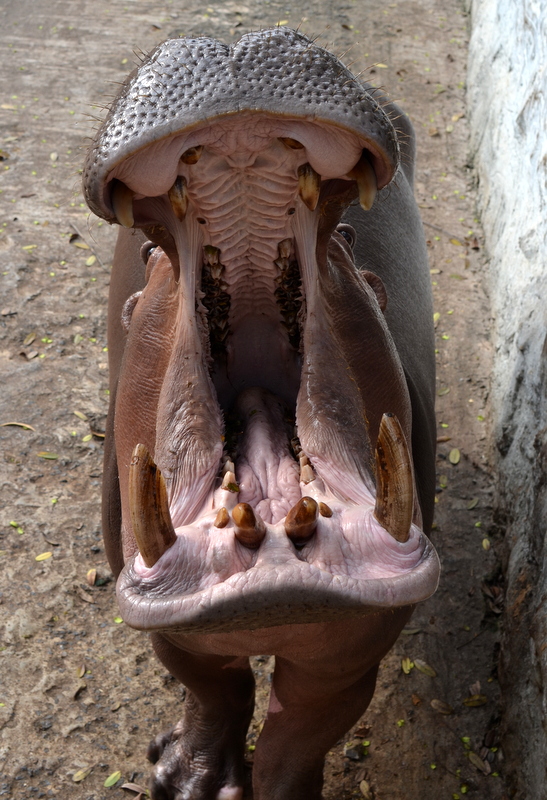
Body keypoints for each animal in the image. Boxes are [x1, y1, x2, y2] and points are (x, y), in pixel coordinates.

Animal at [82, 26, 440, 800]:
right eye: (148, 262)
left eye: (351, 248)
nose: (234, 43)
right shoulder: (173, 631)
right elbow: (211, 687)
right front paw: (185, 779)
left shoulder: (351, 655)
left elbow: (296, 738)